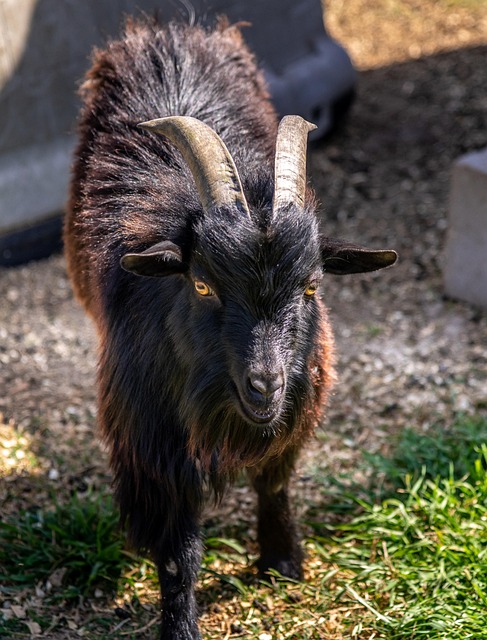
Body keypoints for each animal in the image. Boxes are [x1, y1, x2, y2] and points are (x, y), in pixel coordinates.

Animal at [64, 17, 397, 639]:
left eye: (310, 286)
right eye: (202, 286)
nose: (265, 385)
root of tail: (171, 30)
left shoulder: (295, 408)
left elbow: (273, 481)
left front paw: (282, 559)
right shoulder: (153, 438)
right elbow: (179, 552)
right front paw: (180, 628)